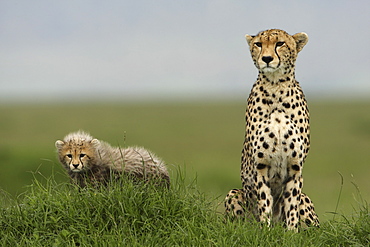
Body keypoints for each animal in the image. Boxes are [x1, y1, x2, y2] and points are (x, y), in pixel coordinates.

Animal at [224, 29, 320, 232]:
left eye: (280, 43)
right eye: (259, 44)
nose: (267, 58)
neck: (276, 86)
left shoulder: (295, 167)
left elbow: (291, 207)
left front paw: (292, 233)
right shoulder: (261, 166)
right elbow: (264, 203)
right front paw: (265, 231)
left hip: (307, 203)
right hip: (234, 193)